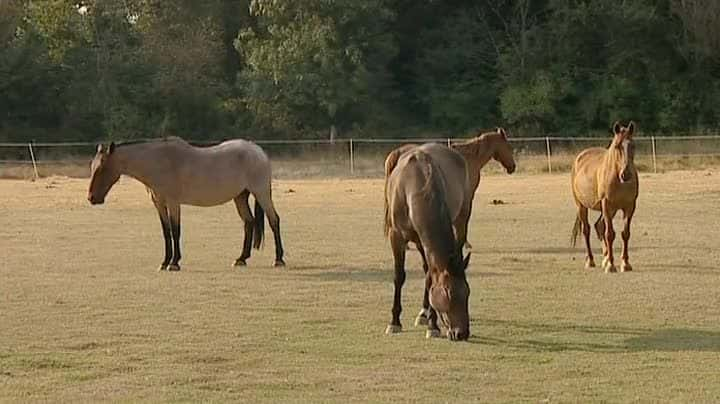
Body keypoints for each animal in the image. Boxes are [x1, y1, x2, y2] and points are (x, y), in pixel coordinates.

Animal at [87, 137, 284, 272]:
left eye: (102, 167)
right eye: (93, 167)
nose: (91, 198)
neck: (159, 162)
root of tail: (258, 151)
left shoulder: (173, 202)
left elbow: (175, 230)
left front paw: (174, 263)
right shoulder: (159, 203)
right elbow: (166, 232)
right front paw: (165, 262)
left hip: (261, 193)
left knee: (274, 220)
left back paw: (279, 259)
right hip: (240, 197)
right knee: (249, 222)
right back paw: (241, 259)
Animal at [382, 147, 472, 340]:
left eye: (467, 292)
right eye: (448, 292)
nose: (461, 333)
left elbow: (430, 278)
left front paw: (433, 326)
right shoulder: (396, 237)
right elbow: (399, 276)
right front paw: (394, 322)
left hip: (460, 221)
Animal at [572, 120, 640, 272]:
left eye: (633, 145)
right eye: (617, 146)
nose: (626, 174)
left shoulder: (629, 206)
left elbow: (625, 233)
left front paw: (625, 263)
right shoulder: (607, 204)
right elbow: (609, 234)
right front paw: (611, 265)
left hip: (610, 210)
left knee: (599, 226)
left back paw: (605, 258)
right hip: (581, 206)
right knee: (587, 230)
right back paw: (590, 261)